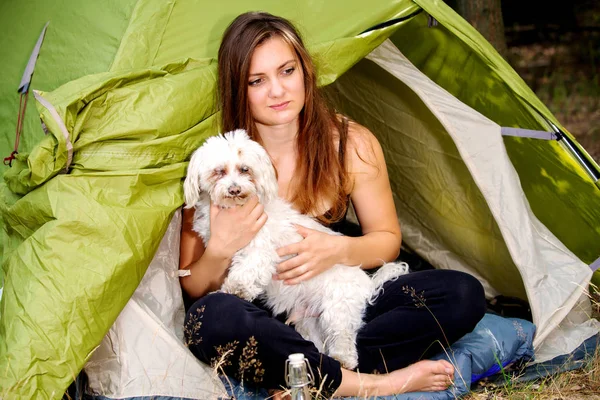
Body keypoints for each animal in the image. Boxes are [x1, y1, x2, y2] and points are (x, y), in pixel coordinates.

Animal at [183, 130, 408, 368]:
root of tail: (368, 283)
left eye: (245, 169)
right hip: (311, 321)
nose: (234, 189)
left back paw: (343, 360)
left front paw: (234, 290)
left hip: (338, 309)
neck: (234, 209)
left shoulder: (259, 249)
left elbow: (247, 272)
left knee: (344, 338)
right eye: (219, 171)